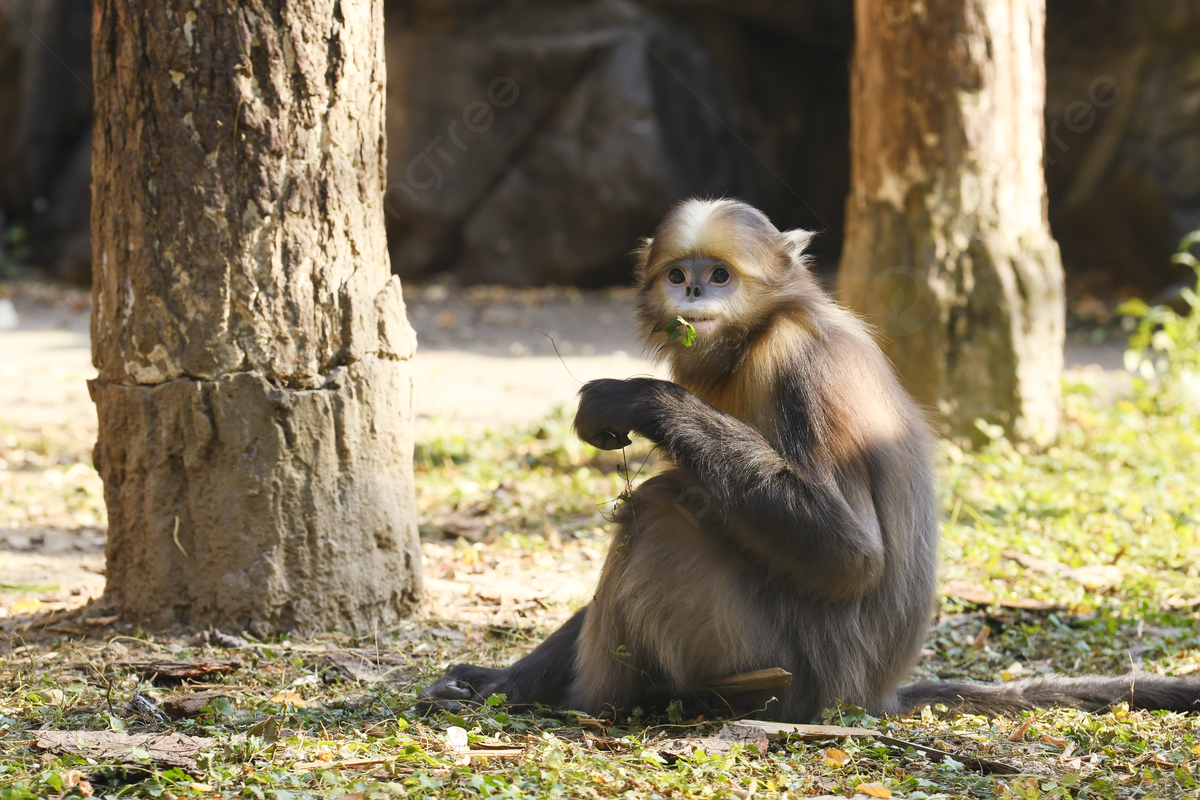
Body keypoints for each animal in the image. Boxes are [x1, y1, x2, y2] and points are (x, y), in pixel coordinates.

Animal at [420, 198, 1200, 721]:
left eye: (719, 276)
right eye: (679, 274)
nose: (693, 291)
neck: (754, 337)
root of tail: (872, 690)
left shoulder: (802, 364)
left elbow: (851, 557)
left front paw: (639, 400)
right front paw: (503, 682)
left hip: (795, 669)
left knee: (660, 504)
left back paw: (603, 706)